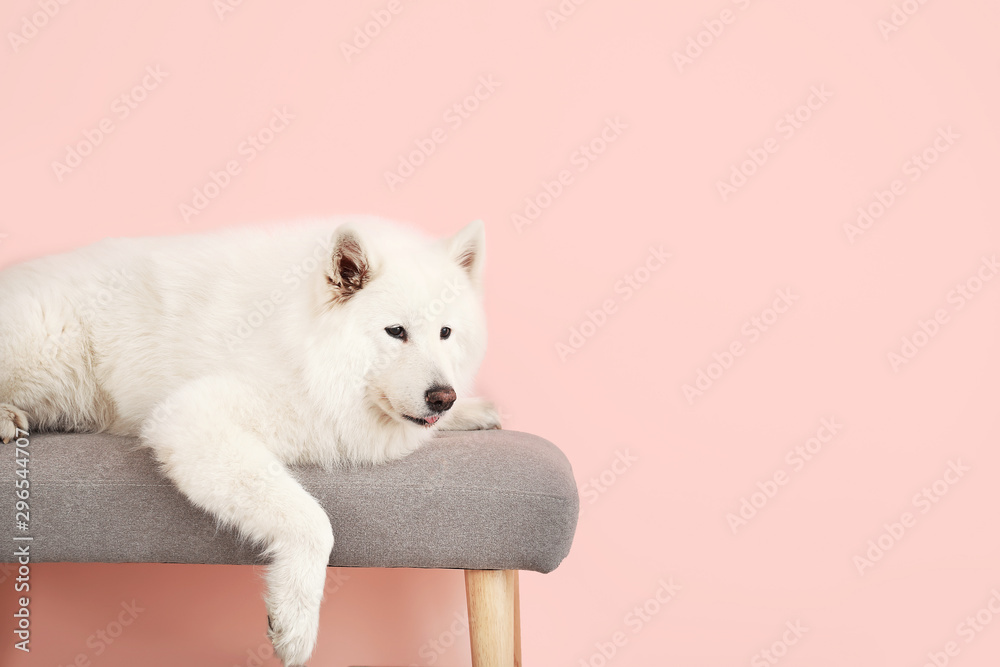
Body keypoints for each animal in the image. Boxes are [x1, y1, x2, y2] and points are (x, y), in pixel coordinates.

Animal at [0, 217, 500, 664]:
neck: (311, 355)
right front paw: (296, 621)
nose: (443, 397)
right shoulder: (194, 418)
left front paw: (473, 411)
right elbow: (313, 522)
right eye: (396, 332)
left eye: (445, 333)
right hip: (47, 347)